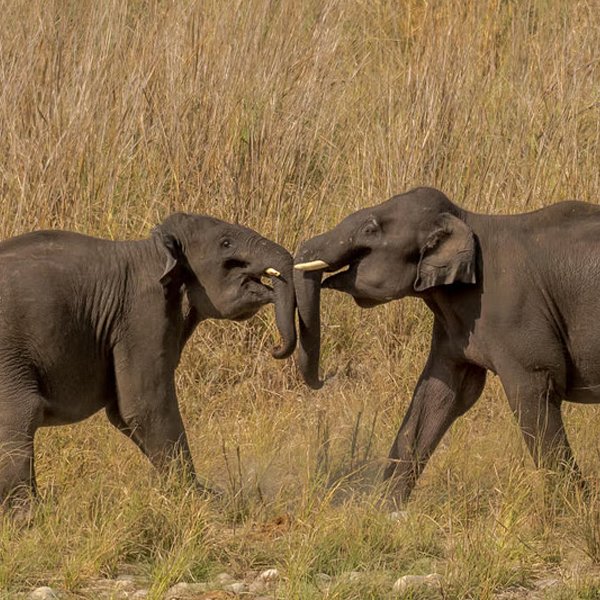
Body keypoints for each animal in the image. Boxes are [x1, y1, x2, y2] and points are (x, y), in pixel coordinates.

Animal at [0, 213, 296, 508]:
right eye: (226, 243)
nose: (276, 349)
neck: (154, 249)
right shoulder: (142, 315)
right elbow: (144, 406)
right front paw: (200, 500)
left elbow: (122, 413)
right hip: (9, 355)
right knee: (20, 413)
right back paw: (29, 513)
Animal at [294, 188, 600, 506]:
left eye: (370, 229)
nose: (326, 378)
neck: (466, 219)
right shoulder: (454, 328)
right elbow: (440, 395)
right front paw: (382, 508)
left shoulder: (517, 321)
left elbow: (532, 393)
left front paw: (573, 508)